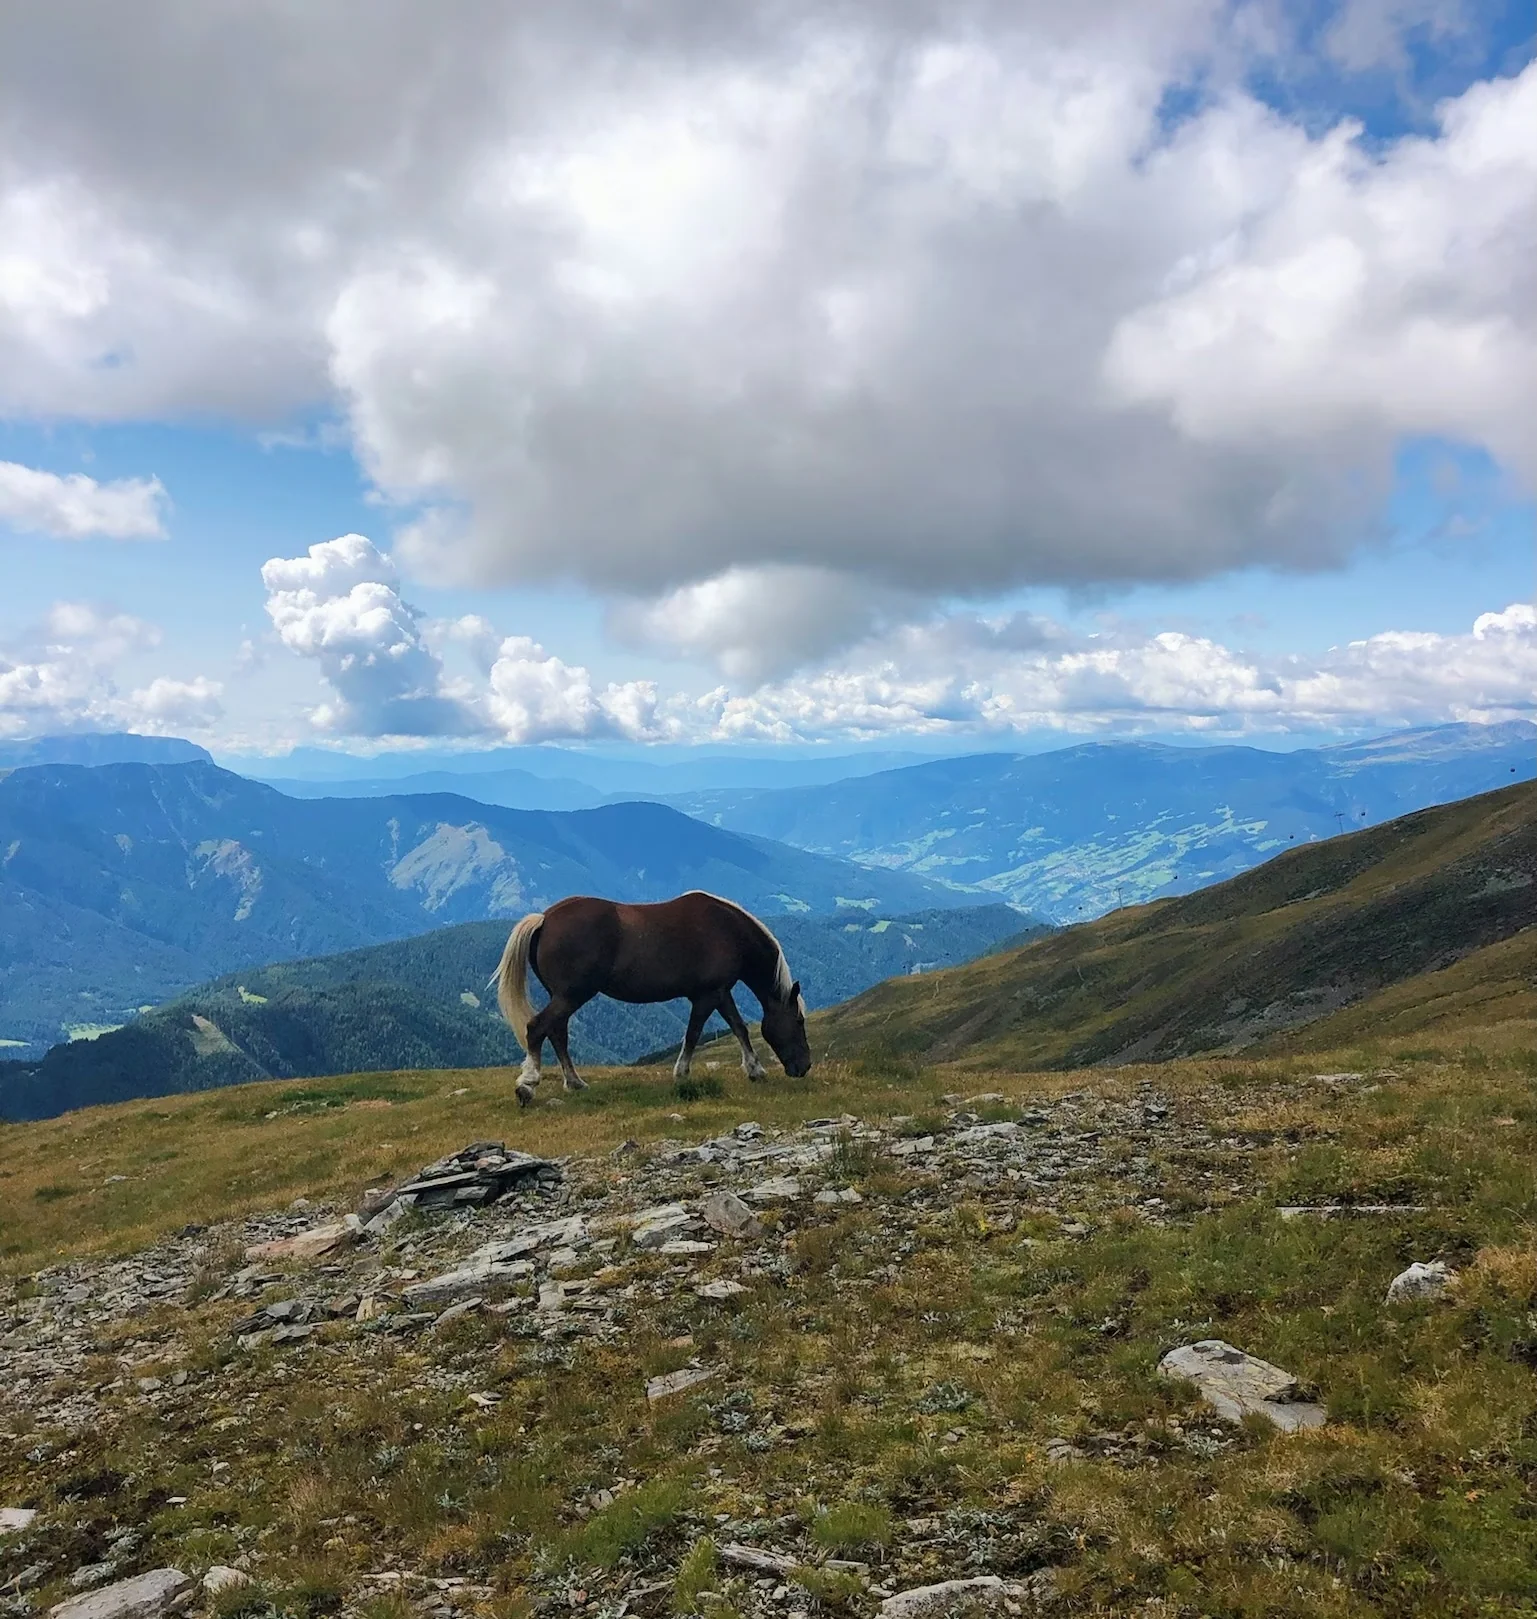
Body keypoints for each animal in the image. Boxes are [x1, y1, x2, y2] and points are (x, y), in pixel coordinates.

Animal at [493, 890, 812, 1105]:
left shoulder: (720, 993)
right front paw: (681, 1073)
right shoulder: (707, 996)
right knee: (537, 1028)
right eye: (798, 1021)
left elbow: (739, 1028)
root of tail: (545, 919)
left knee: (557, 1032)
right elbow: (694, 1034)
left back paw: (575, 1083)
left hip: (563, 996)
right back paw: (528, 1085)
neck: (729, 930)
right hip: (571, 996)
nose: (804, 1067)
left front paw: (755, 1070)